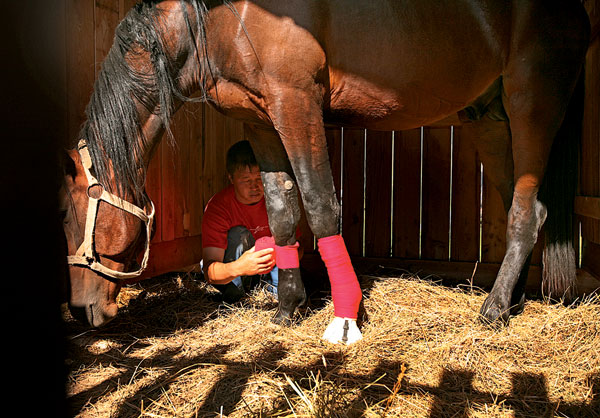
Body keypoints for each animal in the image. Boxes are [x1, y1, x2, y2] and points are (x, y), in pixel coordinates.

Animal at [59, 0, 584, 342]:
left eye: (68, 215)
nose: (81, 309)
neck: (221, 18)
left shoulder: (297, 106)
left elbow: (319, 204)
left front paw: (345, 314)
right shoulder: (262, 121)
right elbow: (281, 210)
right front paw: (289, 307)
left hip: (532, 106)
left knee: (527, 213)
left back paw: (493, 311)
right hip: (490, 119)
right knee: (515, 202)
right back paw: (510, 301)